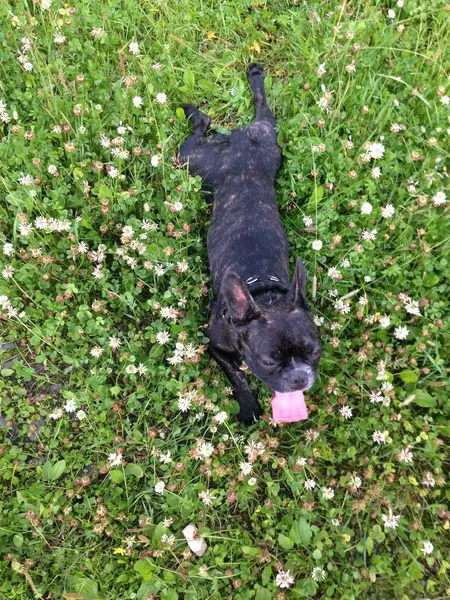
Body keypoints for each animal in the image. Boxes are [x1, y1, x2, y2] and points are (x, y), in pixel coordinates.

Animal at [181, 63, 322, 424]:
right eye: (268, 360)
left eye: (315, 351)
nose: (299, 377)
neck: (265, 296)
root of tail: (241, 144)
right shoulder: (215, 347)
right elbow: (237, 375)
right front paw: (247, 405)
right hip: (191, 161)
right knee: (201, 129)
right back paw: (194, 112)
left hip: (270, 142)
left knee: (259, 108)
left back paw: (254, 78)